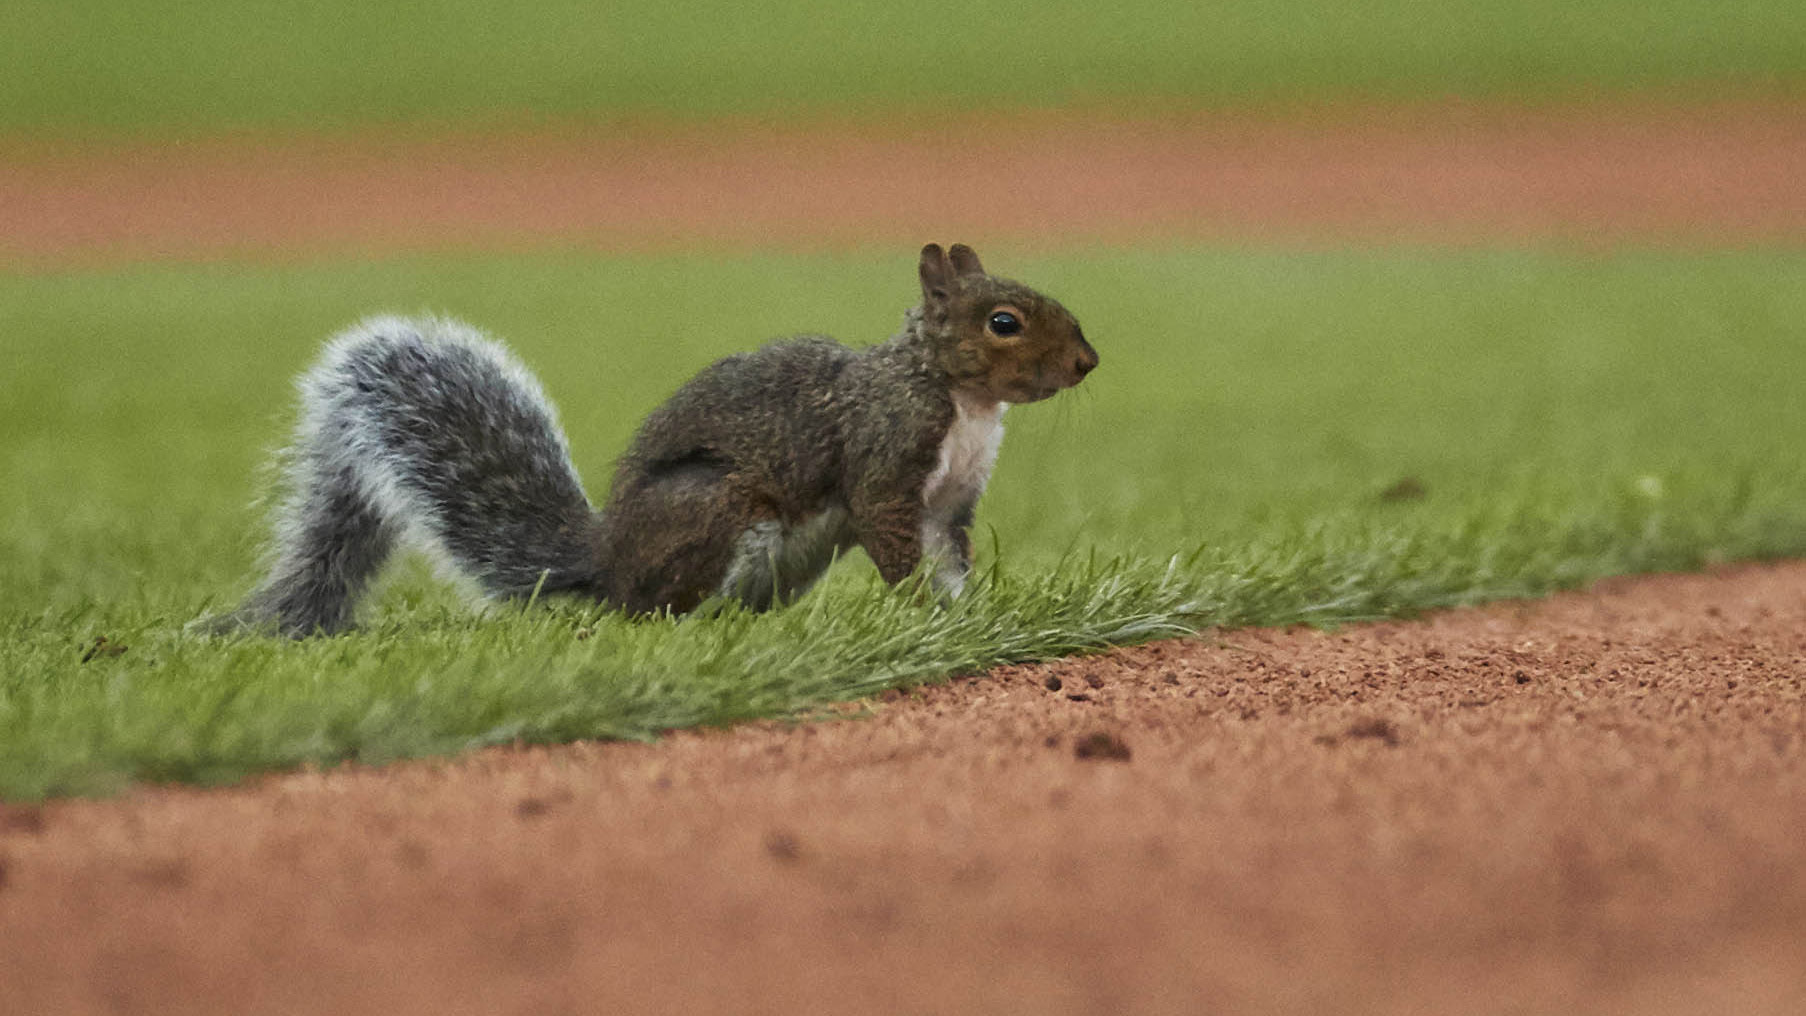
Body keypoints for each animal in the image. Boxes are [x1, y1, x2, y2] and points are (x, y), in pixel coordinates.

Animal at [204, 243, 1090, 635]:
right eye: (1003, 323)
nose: (1089, 361)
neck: (961, 400)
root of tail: (607, 561)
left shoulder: (952, 504)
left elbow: (951, 557)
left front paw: (972, 611)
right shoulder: (885, 463)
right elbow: (894, 540)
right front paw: (918, 613)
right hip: (718, 509)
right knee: (658, 611)